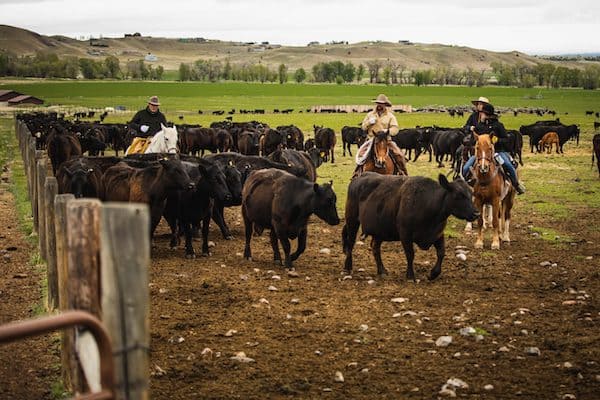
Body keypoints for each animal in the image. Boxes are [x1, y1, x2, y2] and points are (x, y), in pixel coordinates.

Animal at [342, 173, 478, 282]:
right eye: (458, 195)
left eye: (471, 193)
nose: (476, 213)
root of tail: (358, 178)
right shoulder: (405, 234)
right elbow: (410, 254)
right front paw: (410, 276)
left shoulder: (438, 234)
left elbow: (441, 253)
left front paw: (433, 274)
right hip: (352, 220)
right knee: (350, 243)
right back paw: (347, 267)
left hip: (380, 230)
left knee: (375, 247)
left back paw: (382, 270)